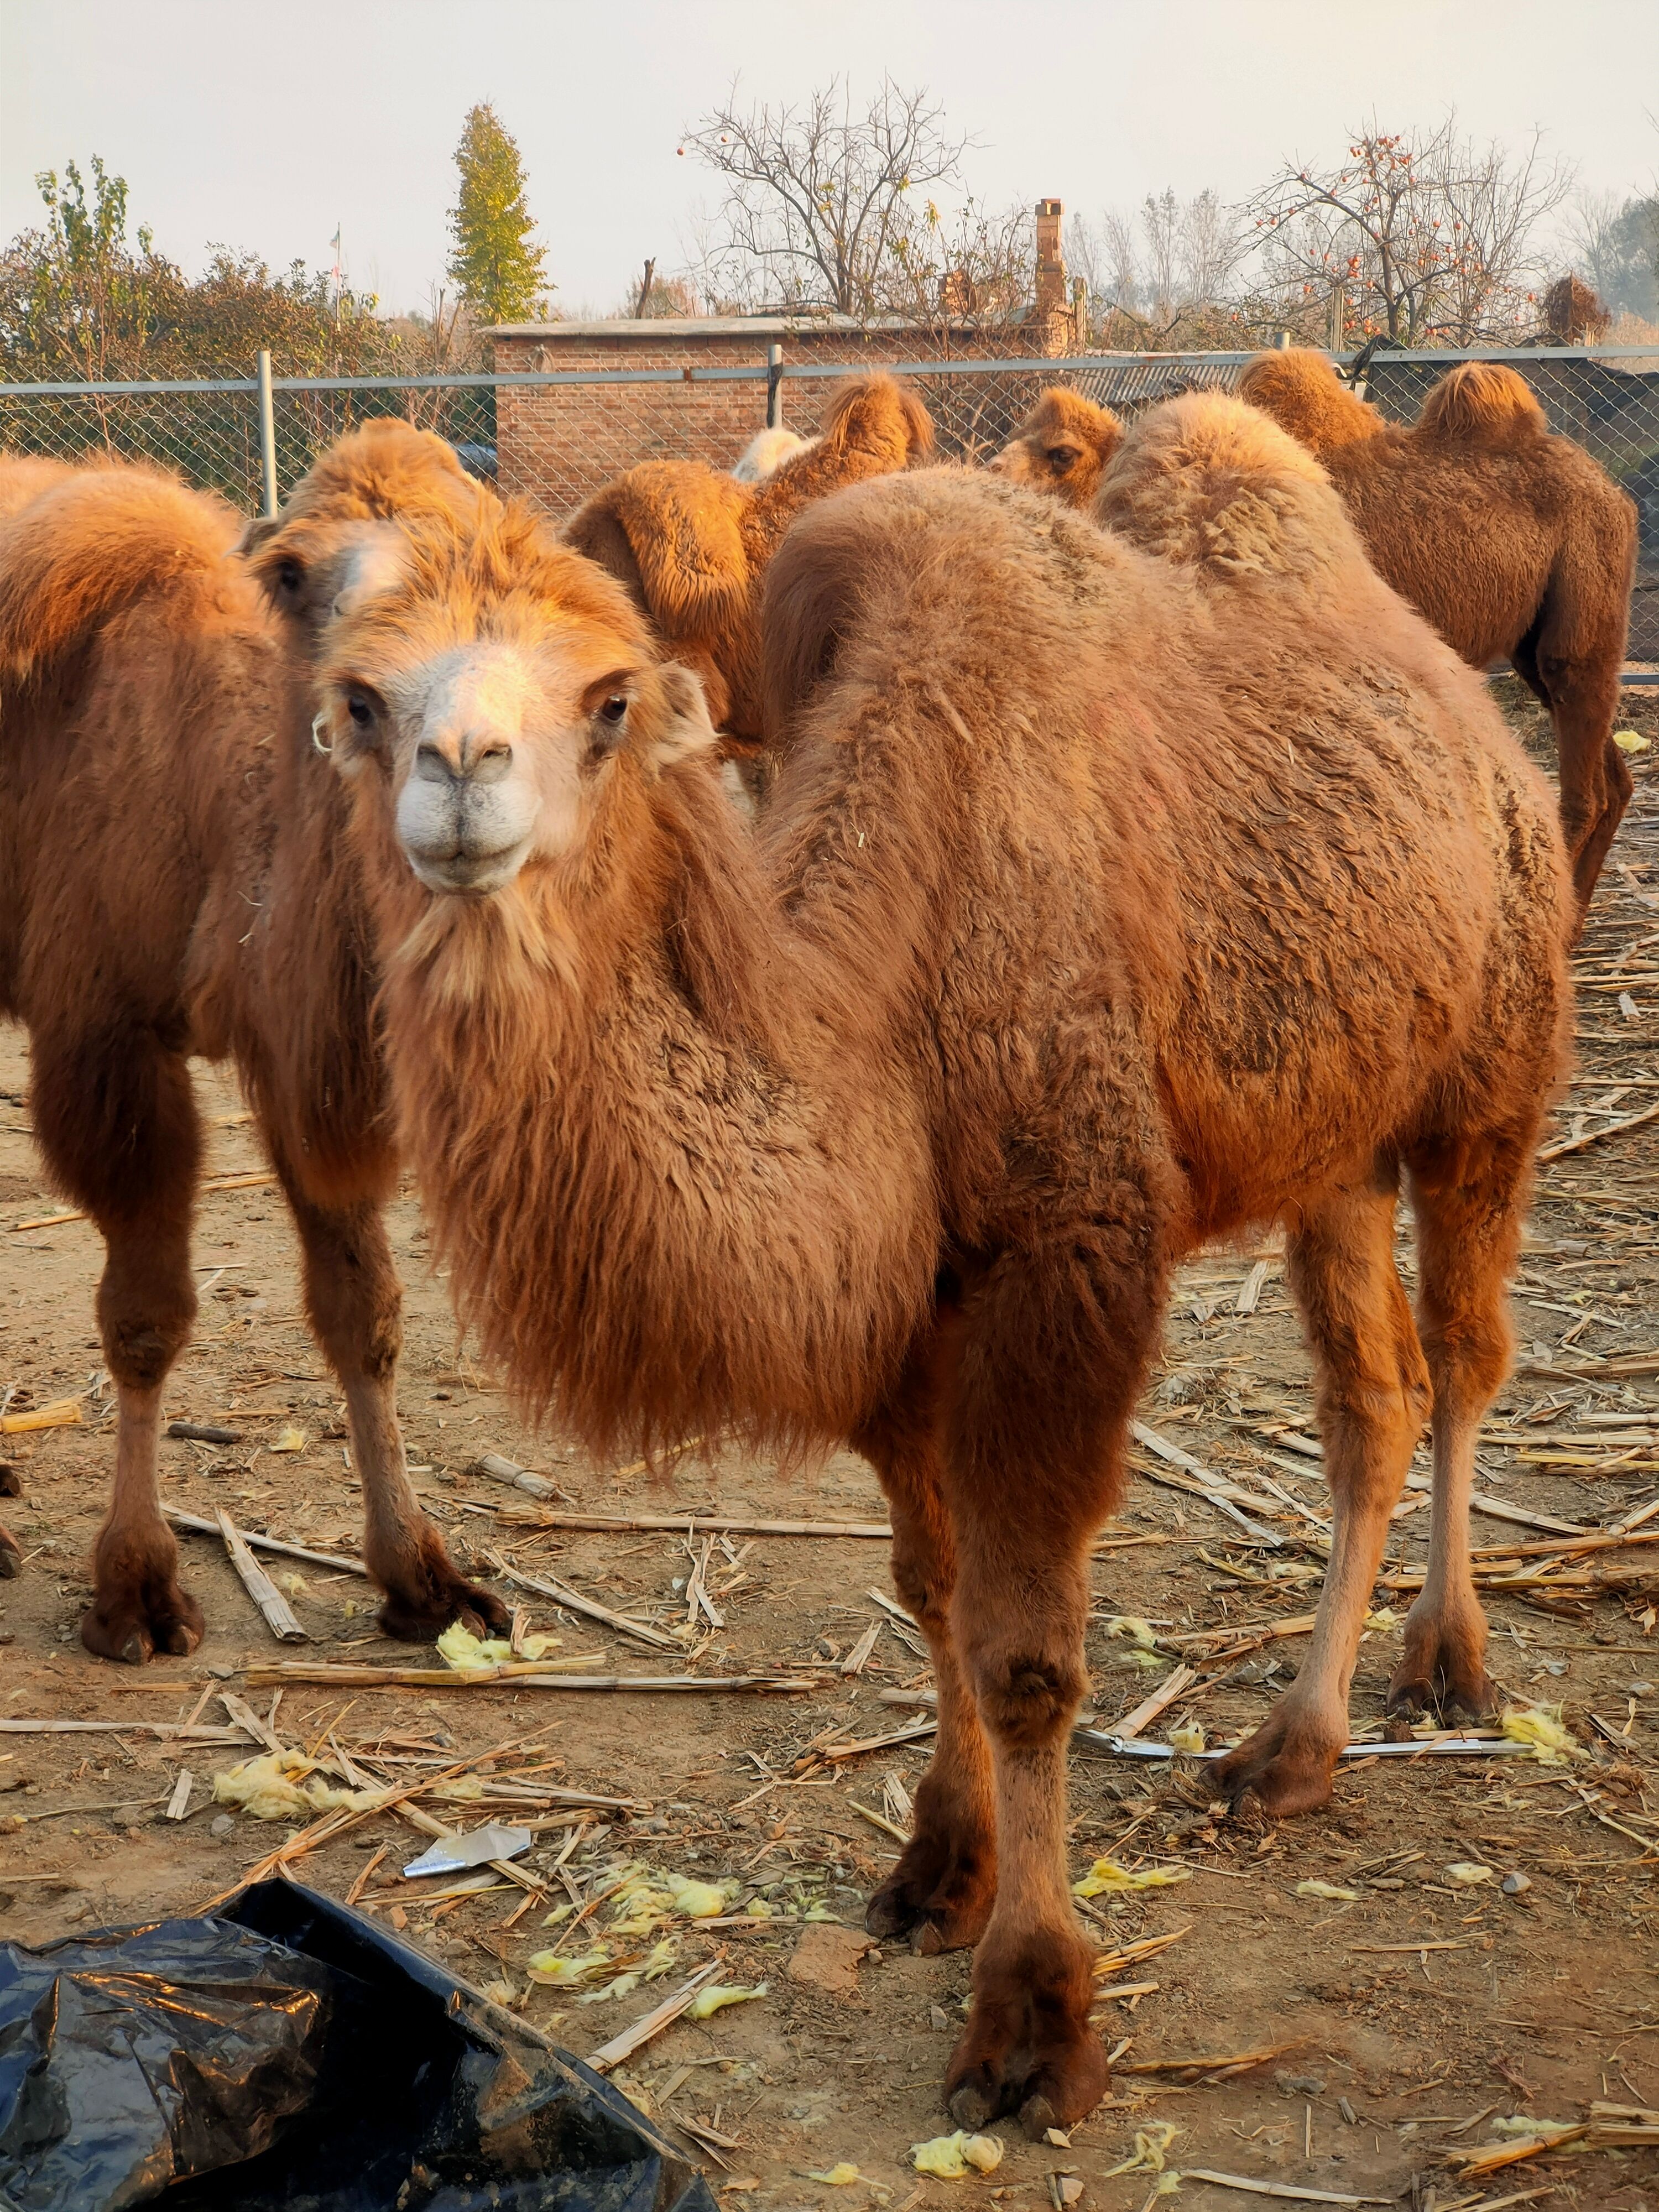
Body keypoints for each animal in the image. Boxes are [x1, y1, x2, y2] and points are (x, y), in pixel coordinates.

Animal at [0, 418, 513, 1663]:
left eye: (482, 557)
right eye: (291, 572)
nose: (404, 709)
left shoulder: (304, 1066)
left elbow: (364, 1310)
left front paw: (424, 1576)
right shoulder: (105, 1037)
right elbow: (145, 1317)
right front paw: (135, 1590)